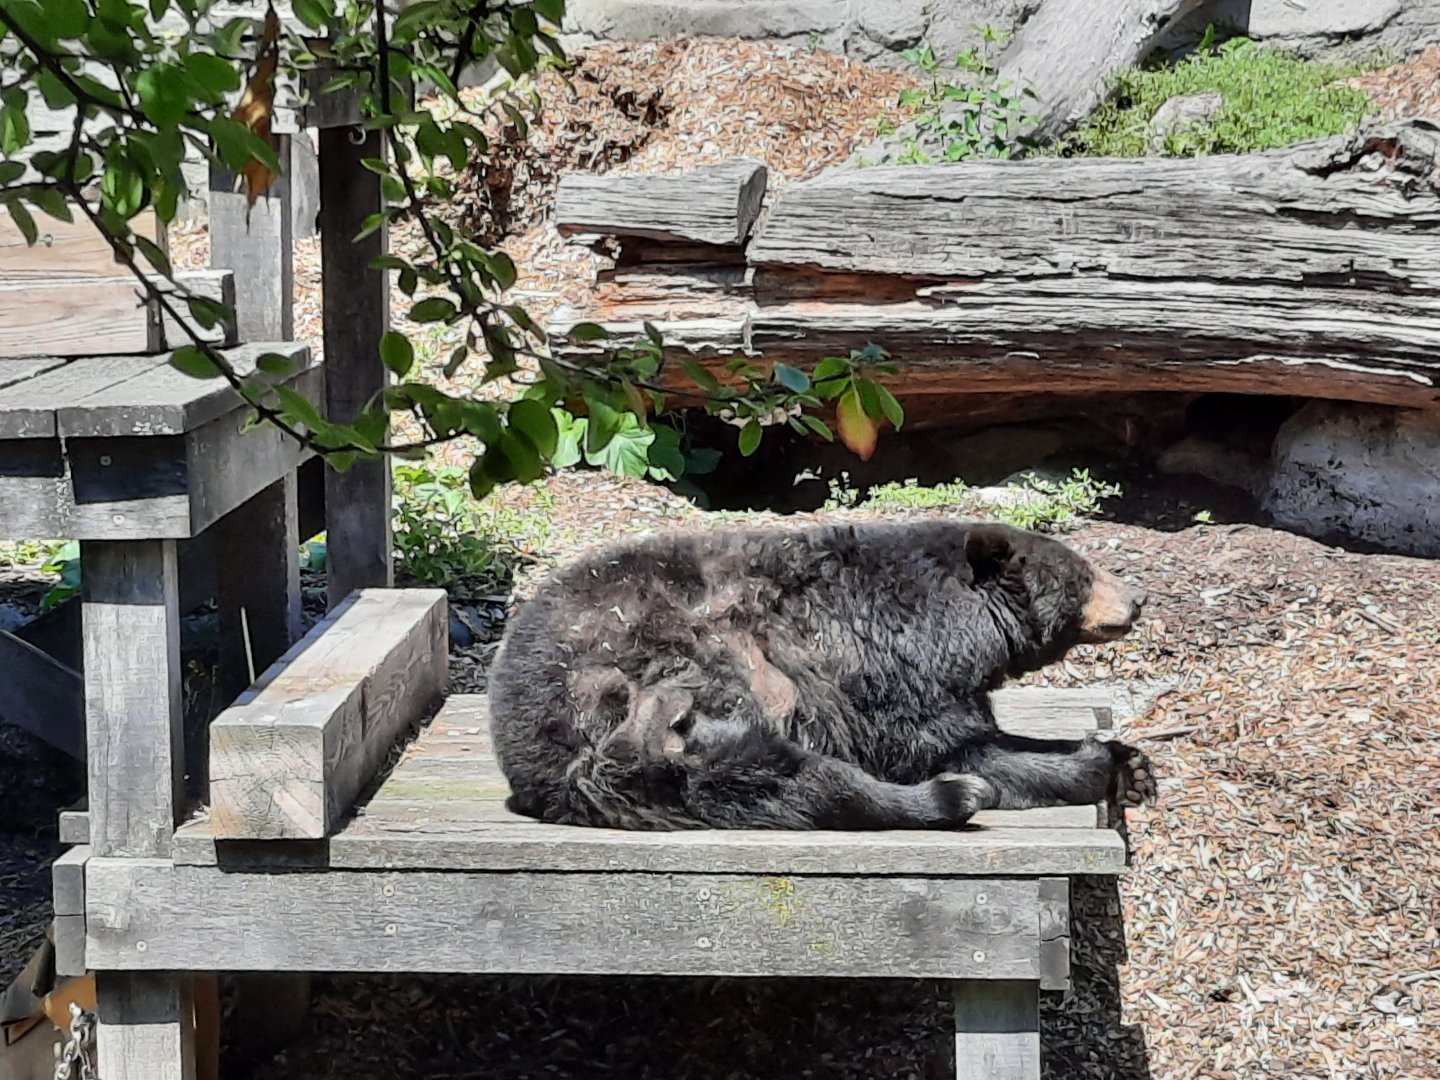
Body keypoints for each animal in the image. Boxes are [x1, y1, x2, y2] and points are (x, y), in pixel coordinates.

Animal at [487, 518, 1156, 831]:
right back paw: (950, 797)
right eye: (1083, 574)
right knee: (773, 777)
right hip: (665, 686)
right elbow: (956, 746)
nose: (1138, 599)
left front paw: (1132, 764)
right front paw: (1096, 763)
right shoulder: (888, 674)